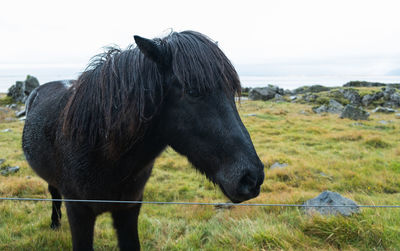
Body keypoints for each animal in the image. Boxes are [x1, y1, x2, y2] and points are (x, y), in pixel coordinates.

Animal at [23, 31, 264, 251]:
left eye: (231, 91)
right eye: (193, 91)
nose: (251, 178)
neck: (101, 152)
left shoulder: (129, 208)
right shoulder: (79, 212)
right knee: (54, 195)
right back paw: (55, 225)